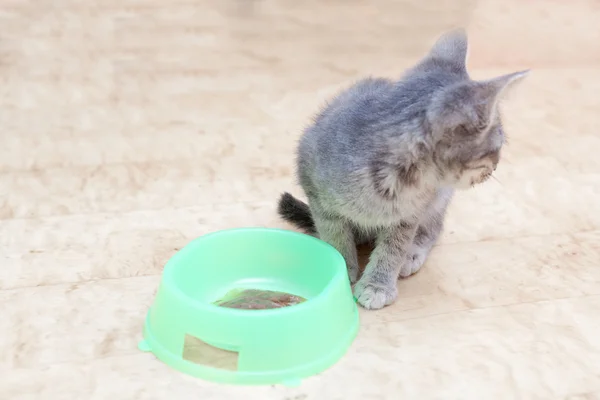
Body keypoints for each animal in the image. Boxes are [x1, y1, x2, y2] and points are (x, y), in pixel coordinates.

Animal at [278, 28, 528, 310]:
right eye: (498, 145)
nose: (495, 167)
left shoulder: (408, 216)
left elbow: (393, 249)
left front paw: (378, 285)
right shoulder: (316, 189)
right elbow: (335, 235)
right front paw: (343, 267)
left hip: (439, 198)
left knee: (434, 227)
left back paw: (413, 252)